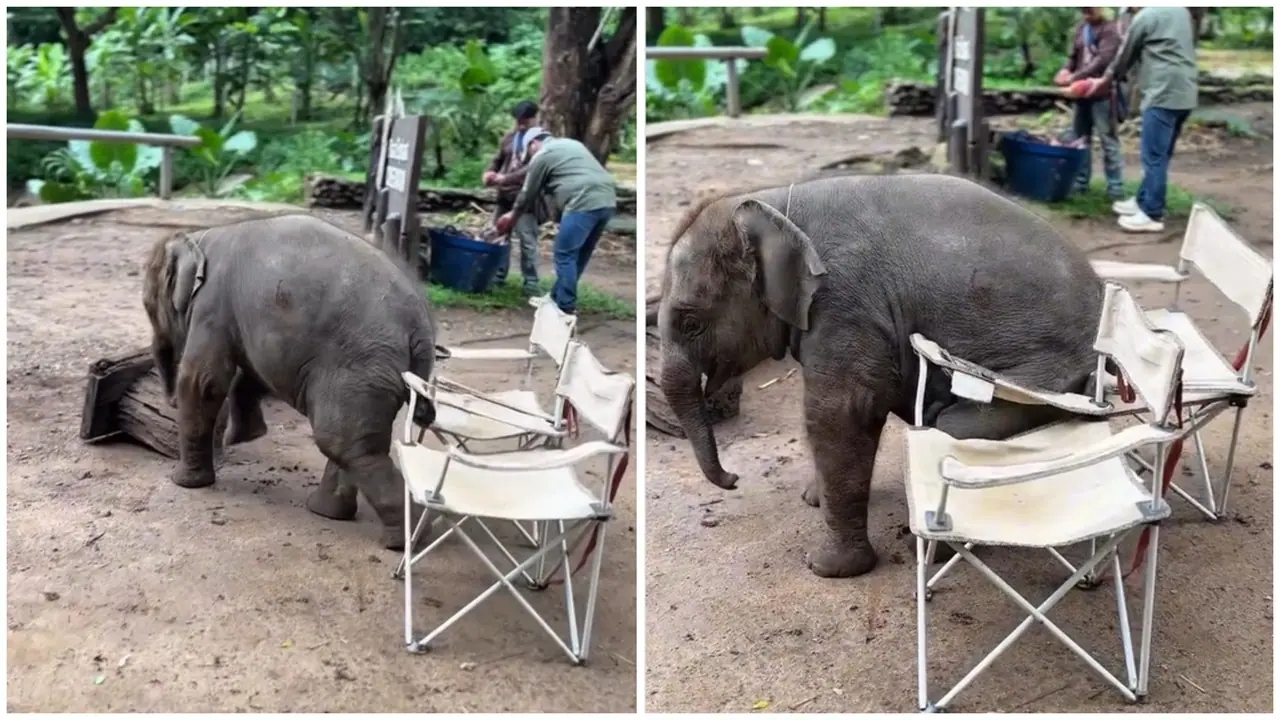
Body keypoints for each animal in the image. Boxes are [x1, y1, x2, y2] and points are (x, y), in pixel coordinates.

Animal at [141, 213, 439, 550]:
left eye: (148, 305)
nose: (167, 402)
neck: (200, 236)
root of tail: (421, 330)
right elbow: (252, 373)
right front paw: (244, 437)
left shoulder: (212, 304)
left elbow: (204, 381)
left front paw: (184, 482)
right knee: (353, 441)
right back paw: (329, 512)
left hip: (359, 366)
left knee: (342, 441)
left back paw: (407, 540)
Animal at [656, 174, 1105, 579]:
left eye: (691, 323)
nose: (732, 479)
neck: (773, 202)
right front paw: (813, 499)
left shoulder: (846, 301)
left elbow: (840, 411)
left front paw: (828, 569)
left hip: (1046, 377)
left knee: (957, 427)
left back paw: (927, 548)